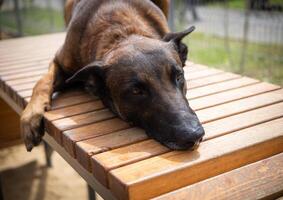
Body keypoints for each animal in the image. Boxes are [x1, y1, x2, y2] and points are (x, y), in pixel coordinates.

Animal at [21, 0, 205, 152]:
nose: (194, 134)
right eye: (136, 91)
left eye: (179, 77)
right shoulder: (58, 62)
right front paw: (30, 117)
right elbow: (42, 82)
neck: (122, 32)